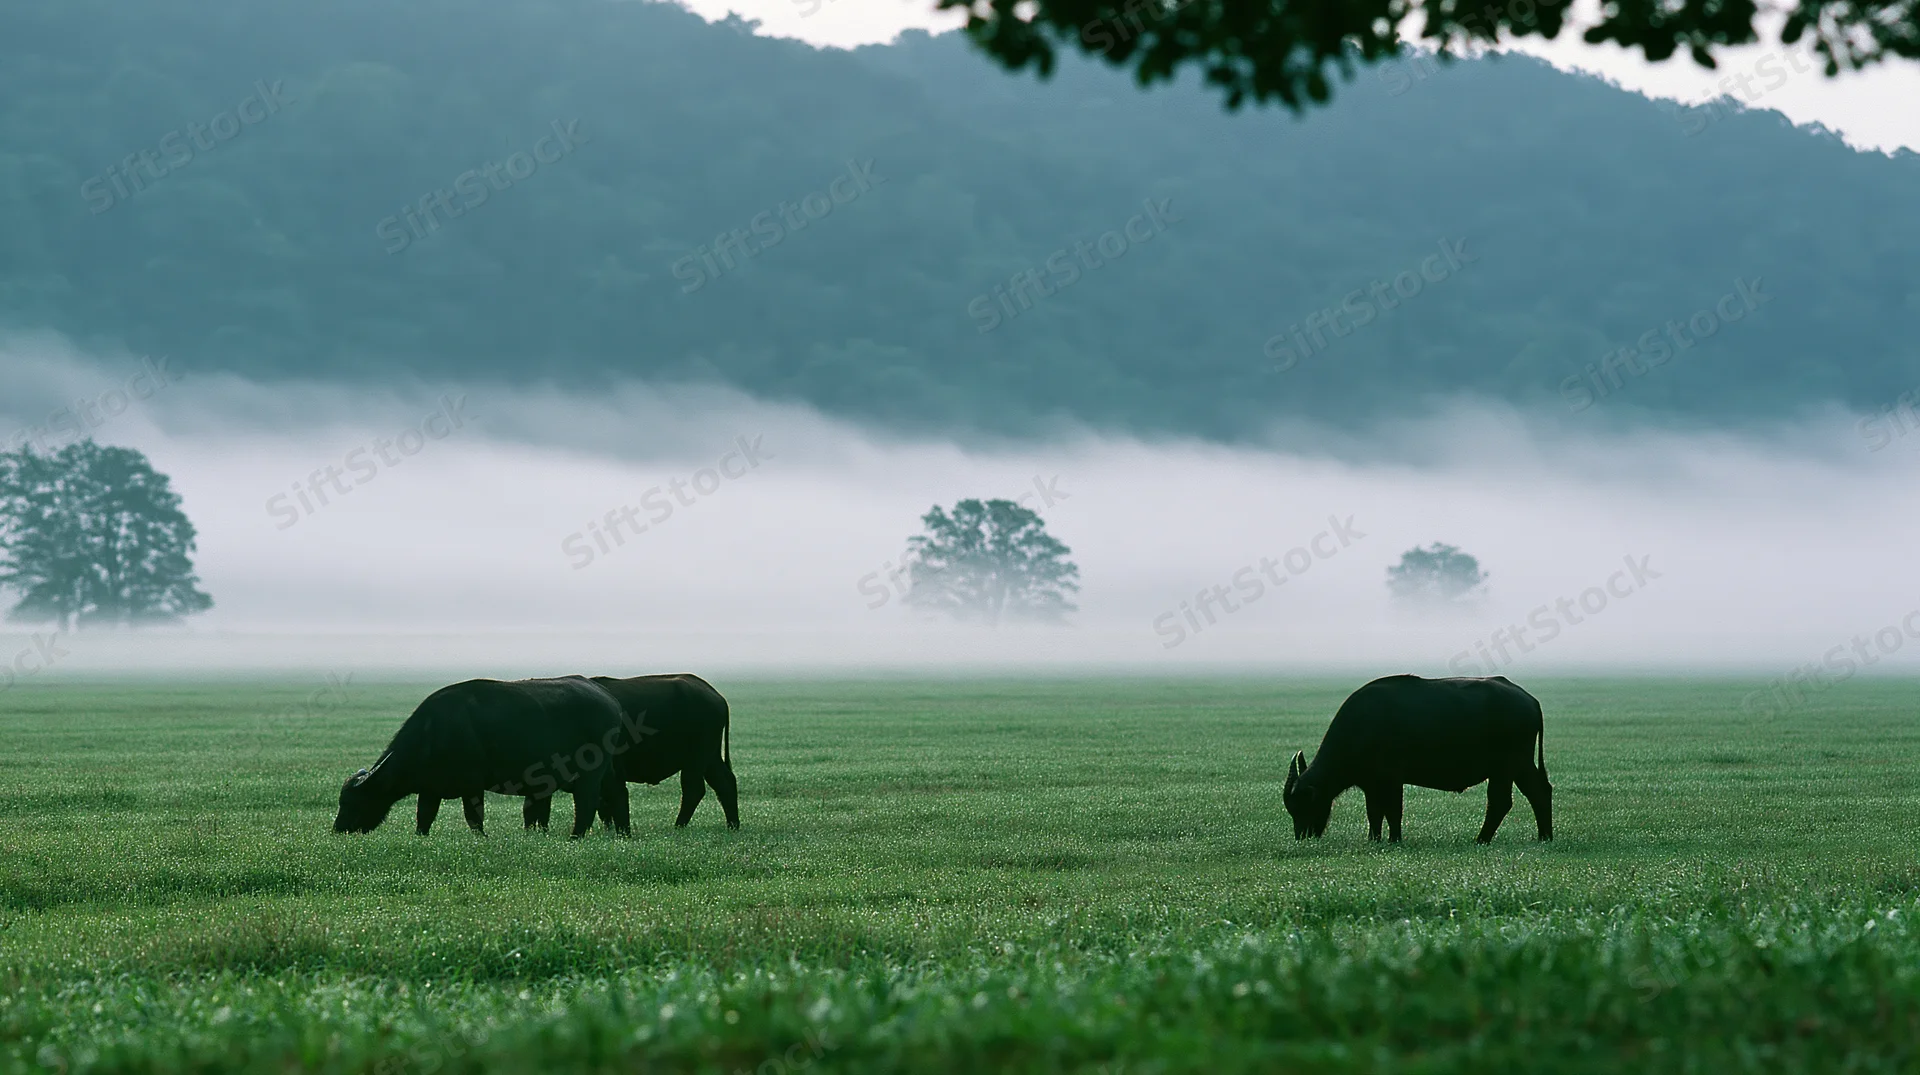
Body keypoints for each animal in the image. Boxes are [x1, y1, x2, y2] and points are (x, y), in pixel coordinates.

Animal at [332, 675, 629, 838]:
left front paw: (482, 837)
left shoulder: (472, 785)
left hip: (590, 773)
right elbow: (424, 817)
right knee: (617, 793)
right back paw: (623, 833)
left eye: (352, 802)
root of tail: (609, 700)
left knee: (587, 802)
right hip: (608, 770)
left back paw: (575, 836)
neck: (433, 733)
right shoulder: (430, 789)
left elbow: (473, 817)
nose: (338, 829)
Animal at [511, 673, 739, 834]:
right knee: (725, 782)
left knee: (694, 789)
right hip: (710, 756)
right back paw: (733, 825)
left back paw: (679, 825)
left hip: (696, 757)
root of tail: (714, 695)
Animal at [1283, 674, 1552, 844]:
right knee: (1538, 791)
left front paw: (1394, 839)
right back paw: (1544, 836)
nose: (1302, 836)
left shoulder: (1391, 779)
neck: (1361, 726)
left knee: (1501, 801)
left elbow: (1393, 810)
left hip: (1508, 766)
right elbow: (1374, 812)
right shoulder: (1371, 784)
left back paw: (1482, 839)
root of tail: (1529, 700)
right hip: (1518, 766)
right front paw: (1374, 839)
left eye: (1303, 804)